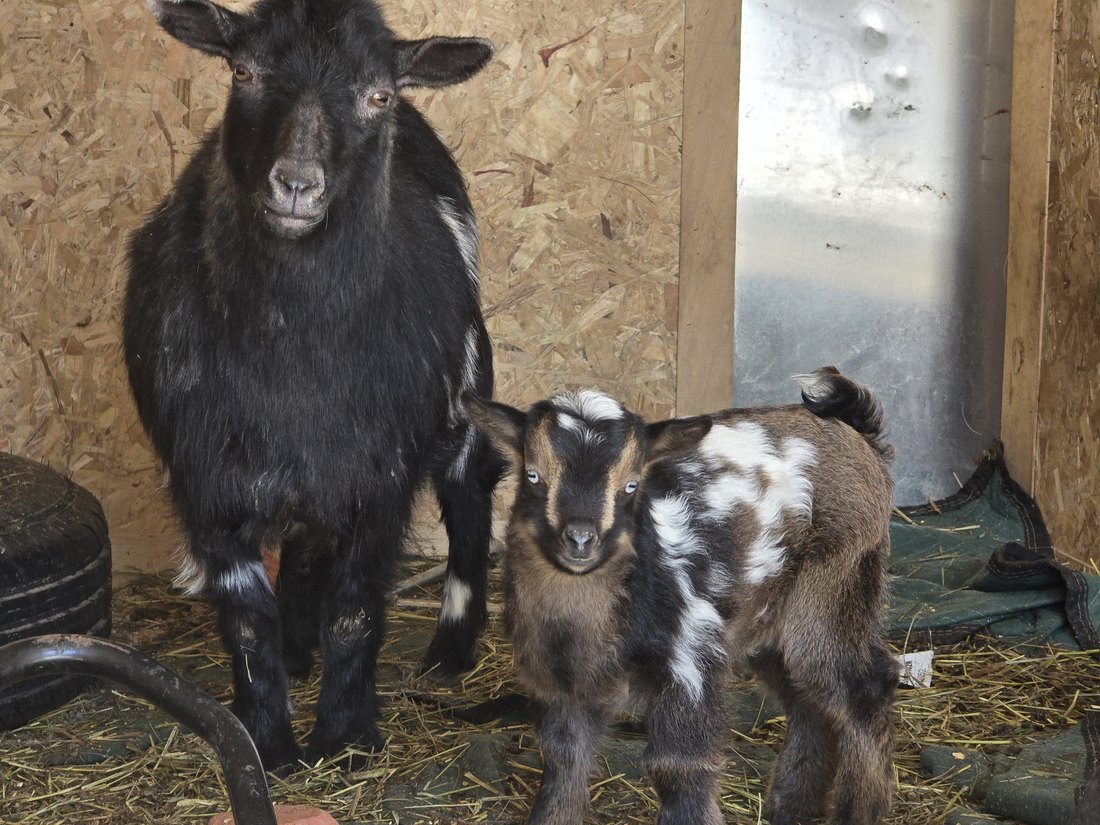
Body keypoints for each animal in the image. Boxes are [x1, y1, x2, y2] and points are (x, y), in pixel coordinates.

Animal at [123, 0, 500, 771]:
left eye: (378, 94)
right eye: (242, 71)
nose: (296, 184)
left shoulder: (378, 475)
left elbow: (355, 610)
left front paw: (347, 739)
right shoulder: (209, 475)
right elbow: (246, 618)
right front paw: (267, 741)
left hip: (463, 393)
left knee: (469, 497)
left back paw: (449, 650)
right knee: (302, 548)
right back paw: (299, 652)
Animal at [464, 367, 898, 825]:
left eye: (631, 484)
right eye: (532, 475)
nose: (581, 539)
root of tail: (858, 432)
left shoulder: (690, 658)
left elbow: (677, 766)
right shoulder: (559, 682)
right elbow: (562, 762)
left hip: (835, 581)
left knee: (862, 686)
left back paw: (858, 811)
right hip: (767, 614)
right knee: (807, 699)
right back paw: (790, 808)